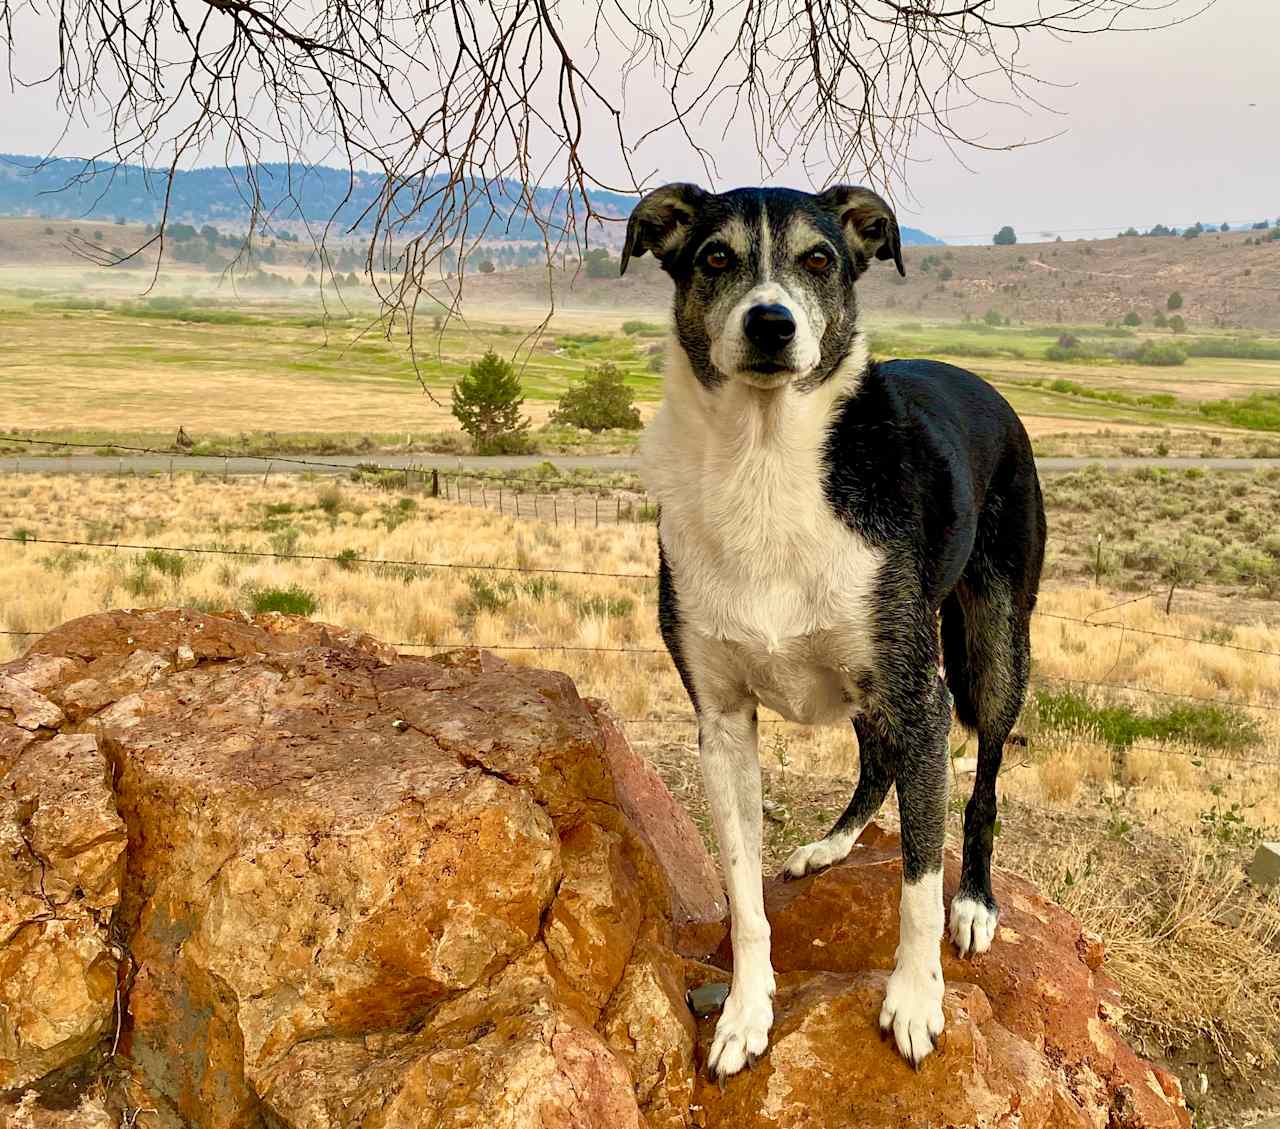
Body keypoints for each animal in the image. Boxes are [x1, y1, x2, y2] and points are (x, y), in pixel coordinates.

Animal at [622, 183, 1049, 1075]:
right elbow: (743, 889)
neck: (763, 460)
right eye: (715, 256)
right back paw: (832, 843)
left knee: (985, 780)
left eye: (819, 259)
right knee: (877, 759)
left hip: (993, 646)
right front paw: (745, 1014)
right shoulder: (722, 721)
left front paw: (916, 1000)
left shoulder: (918, 696)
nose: (770, 323)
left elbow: (917, 880)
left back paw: (976, 902)